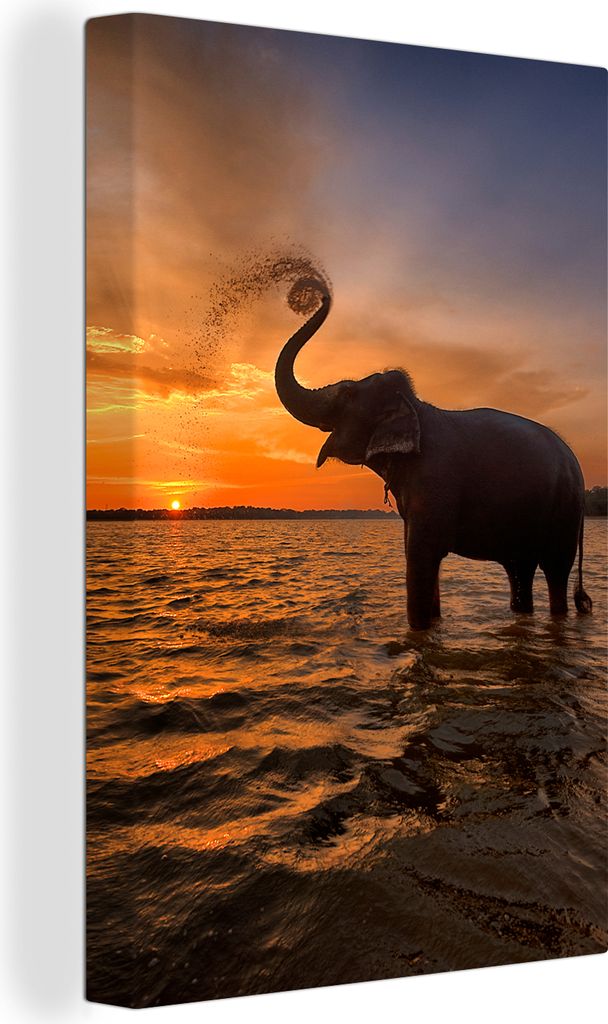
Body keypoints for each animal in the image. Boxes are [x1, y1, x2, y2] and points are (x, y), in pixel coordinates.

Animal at [274, 278, 592, 631]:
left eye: (347, 393)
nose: (316, 292)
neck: (417, 407)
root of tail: (575, 462)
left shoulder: (435, 479)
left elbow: (421, 556)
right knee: (519, 570)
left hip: (564, 512)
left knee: (555, 572)